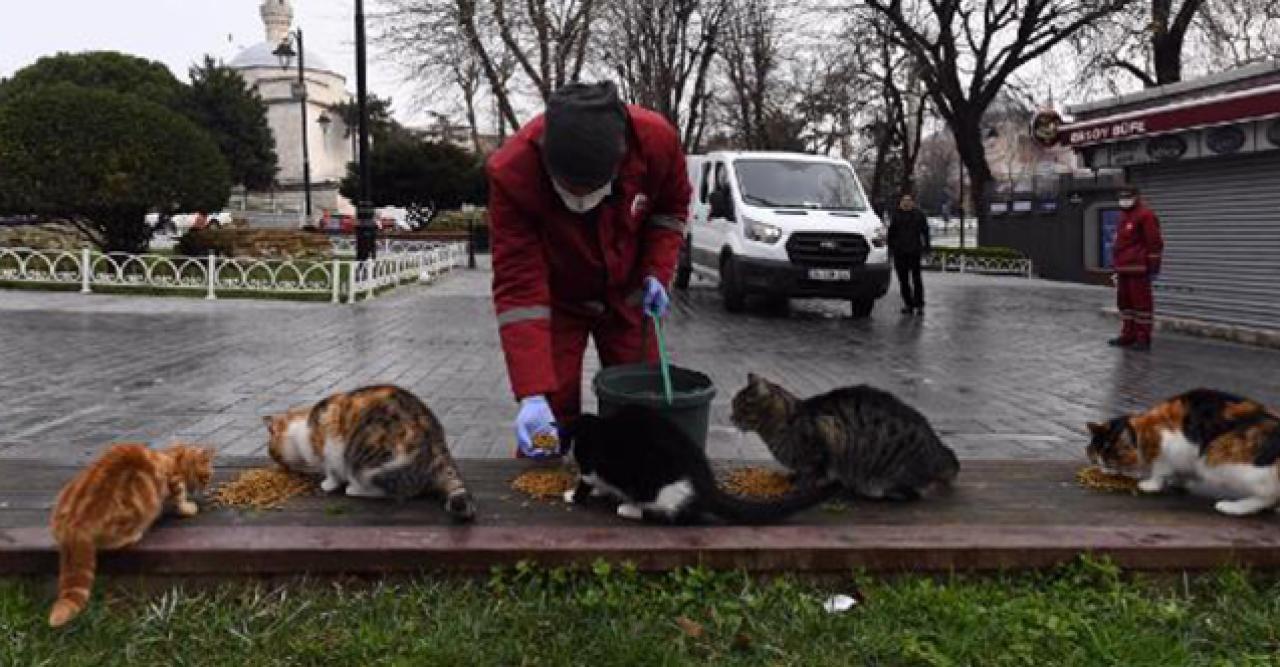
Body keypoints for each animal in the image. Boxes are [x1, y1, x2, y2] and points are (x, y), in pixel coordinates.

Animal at [48, 442, 215, 624]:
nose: (207, 486)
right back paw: (136, 534)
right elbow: (180, 497)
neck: (173, 456)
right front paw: (188, 508)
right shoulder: (174, 481)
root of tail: (74, 525)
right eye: (207, 476)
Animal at [262, 384, 478, 519]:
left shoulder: (330, 452)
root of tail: (436, 441)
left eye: (273, 454)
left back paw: (355, 489)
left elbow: (332, 472)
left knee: (396, 492)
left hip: (372, 463)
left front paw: (328, 484)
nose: (278, 466)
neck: (304, 427)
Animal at [560, 401, 839, 522]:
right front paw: (599, 491)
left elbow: (585, 481)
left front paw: (574, 496)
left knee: (672, 514)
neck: (594, 426)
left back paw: (629, 509)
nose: (564, 451)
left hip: (660, 486)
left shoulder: (589, 463)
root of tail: (707, 482)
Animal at [732, 371, 962, 496]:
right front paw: (792, 477)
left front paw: (800, 485)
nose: (730, 417)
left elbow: (813, 472)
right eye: (733, 405)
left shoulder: (825, 437)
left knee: (914, 490)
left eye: (741, 407)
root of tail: (941, 450)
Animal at [1090, 384, 1280, 514]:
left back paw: (1232, 507)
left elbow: (1159, 469)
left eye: (1110, 460)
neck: (1144, 430)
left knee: (1268, 496)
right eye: (1096, 458)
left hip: (1229, 462)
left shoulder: (1170, 445)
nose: (1103, 469)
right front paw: (1180, 481)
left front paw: (1151, 484)